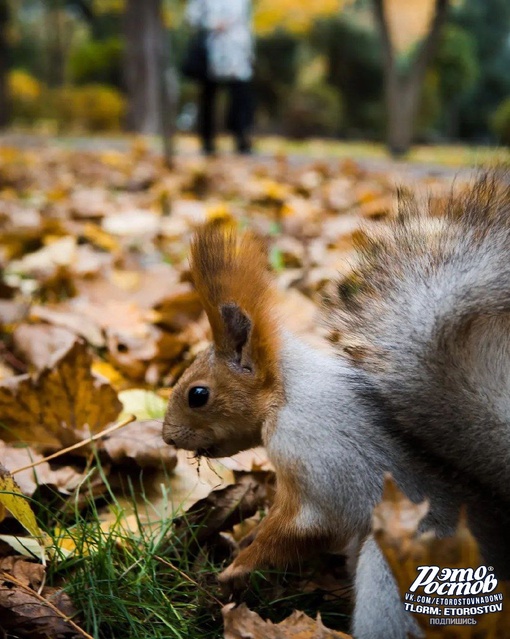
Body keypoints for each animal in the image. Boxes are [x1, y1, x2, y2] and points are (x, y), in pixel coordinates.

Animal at [162, 175, 510, 639]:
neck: (290, 392)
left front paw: (235, 568)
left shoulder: (319, 461)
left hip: (397, 572)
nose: (167, 437)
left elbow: (299, 528)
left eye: (197, 395)